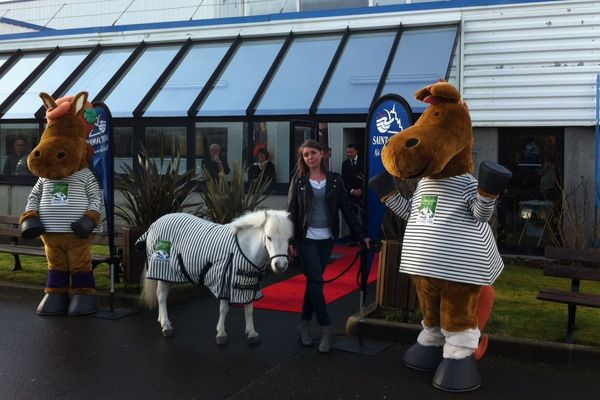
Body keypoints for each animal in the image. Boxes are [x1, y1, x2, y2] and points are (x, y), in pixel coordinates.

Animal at [138, 209, 292, 344]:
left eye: (288, 239)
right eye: (269, 237)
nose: (280, 265)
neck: (245, 249)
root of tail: (154, 224)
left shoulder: (249, 284)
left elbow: (249, 309)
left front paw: (252, 334)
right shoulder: (224, 281)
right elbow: (224, 309)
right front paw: (221, 334)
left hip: (168, 274)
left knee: (162, 295)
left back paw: (161, 319)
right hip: (162, 269)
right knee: (161, 296)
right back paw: (166, 326)